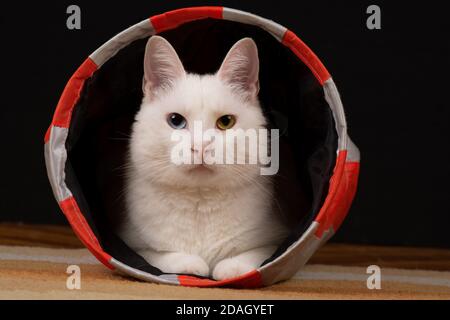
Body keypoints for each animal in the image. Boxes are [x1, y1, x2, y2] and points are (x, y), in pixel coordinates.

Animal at [120, 35, 288, 280]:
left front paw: (230, 267)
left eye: (226, 122)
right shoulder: (132, 243)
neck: (200, 201)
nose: (200, 146)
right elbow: (157, 255)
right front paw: (192, 263)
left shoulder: (277, 241)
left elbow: (254, 256)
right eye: (176, 120)